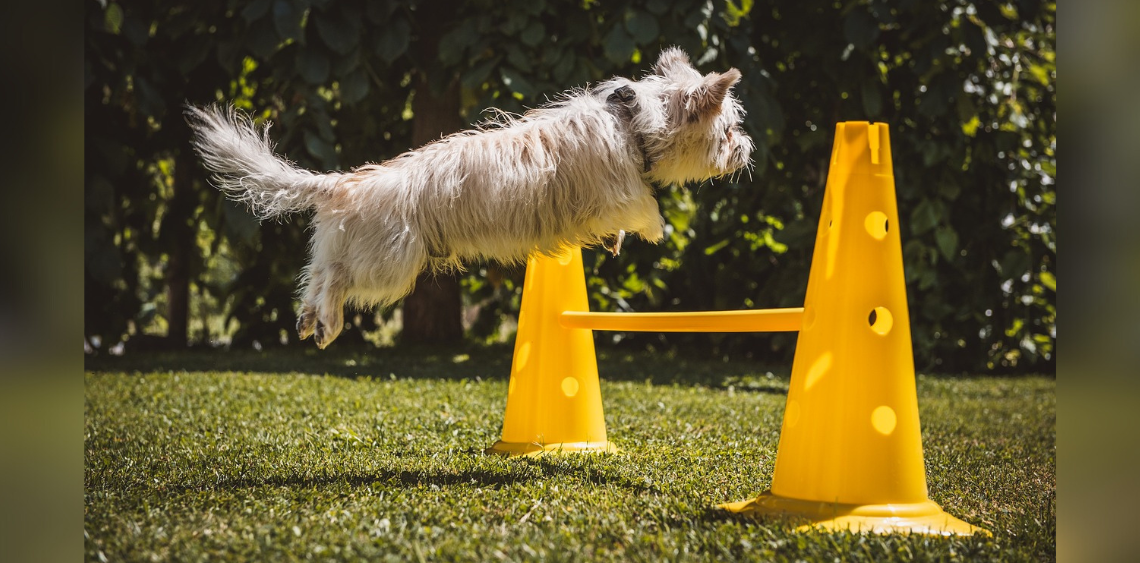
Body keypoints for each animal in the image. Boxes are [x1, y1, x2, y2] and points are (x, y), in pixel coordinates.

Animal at [189, 47, 747, 346]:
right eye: (728, 129)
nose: (746, 148)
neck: (634, 122)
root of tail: (346, 183)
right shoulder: (621, 193)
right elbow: (646, 213)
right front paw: (651, 232)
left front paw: (614, 242)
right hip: (390, 265)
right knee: (338, 279)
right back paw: (327, 321)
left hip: (353, 248)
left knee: (317, 273)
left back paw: (310, 319)